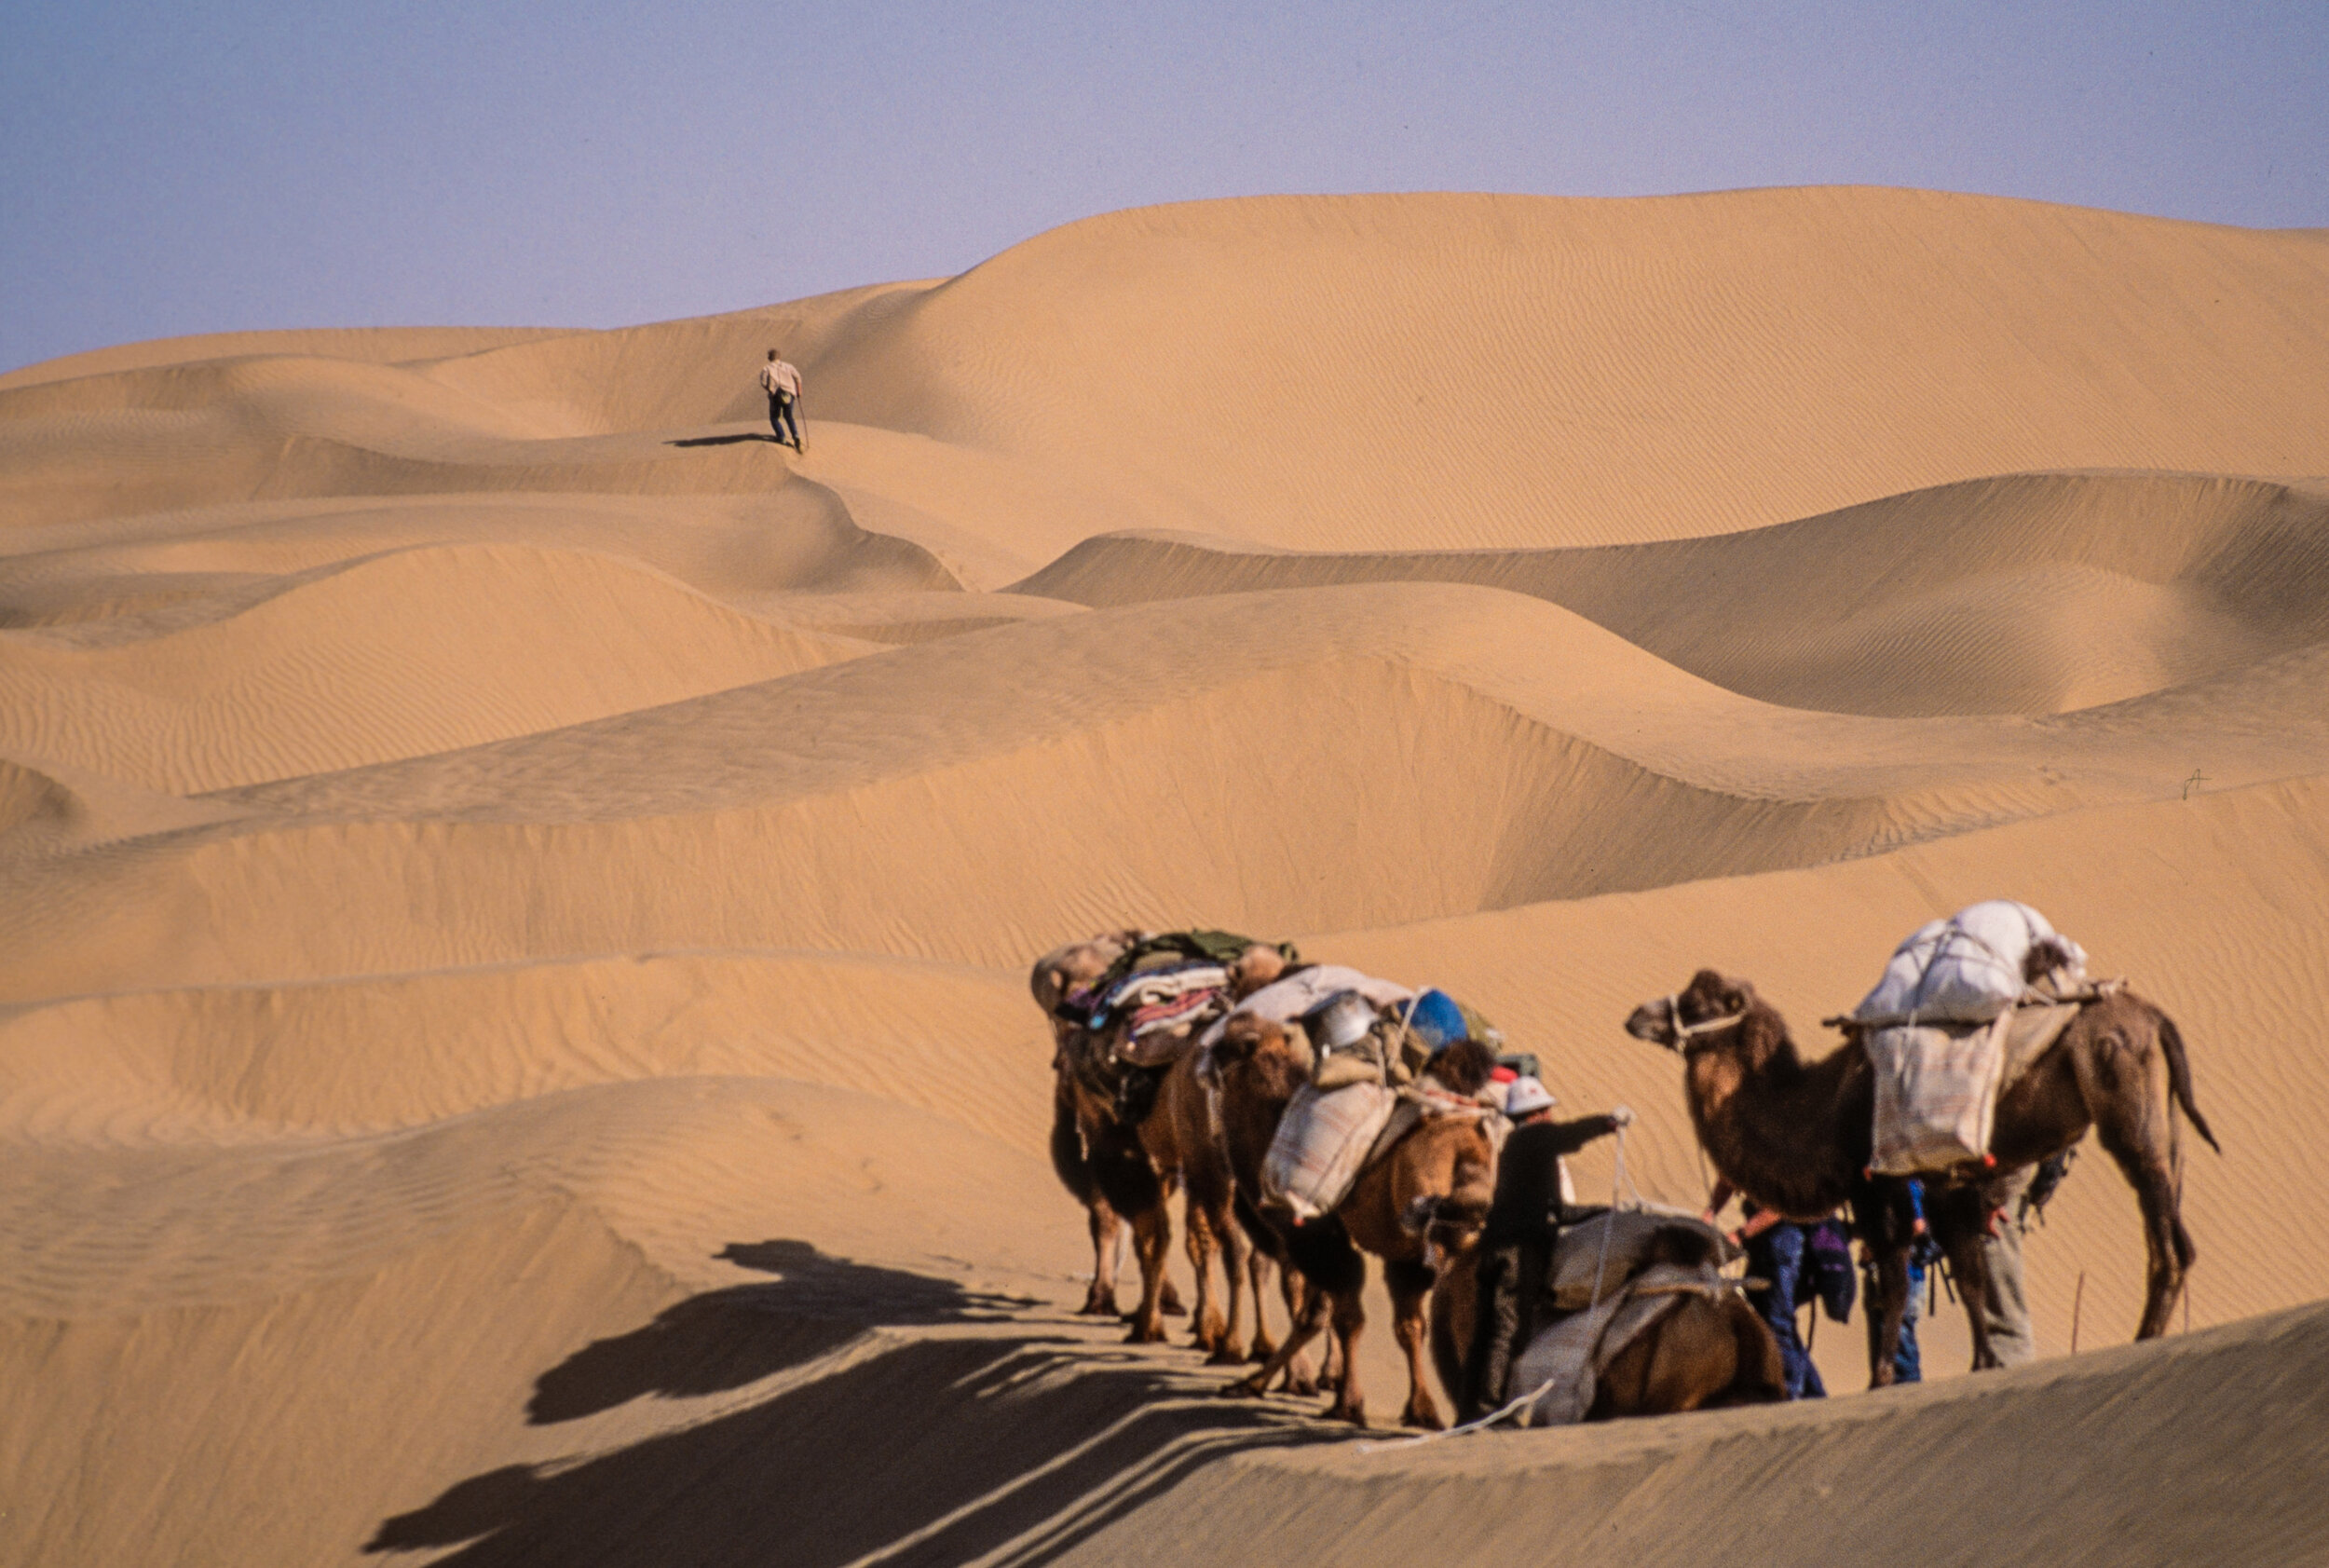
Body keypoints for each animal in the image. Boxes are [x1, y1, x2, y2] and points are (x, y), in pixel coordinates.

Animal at [1211, 1011, 1500, 1425]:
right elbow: (1405, 1325)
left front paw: (1344, 1402)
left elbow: (1334, 1316)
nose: (1204, 1060)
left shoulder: (1314, 1235)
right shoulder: (1402, 1254)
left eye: (1226, 1047)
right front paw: (1421, 1409)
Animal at [1630, 960, 2227, 1379]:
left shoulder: (1877, 1184)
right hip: (2165, 1119)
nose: (1636, 1016)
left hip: (2125, 1101)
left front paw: (1881, 1380)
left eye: (1698, 1002)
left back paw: (2145, 1339)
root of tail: (2154, 1019)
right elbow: (1970, 1275)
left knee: (2167, 1239)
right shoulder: (1948, 1185)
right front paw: (1983, 1365)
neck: (1822, 1109)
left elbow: (1894, 1285)